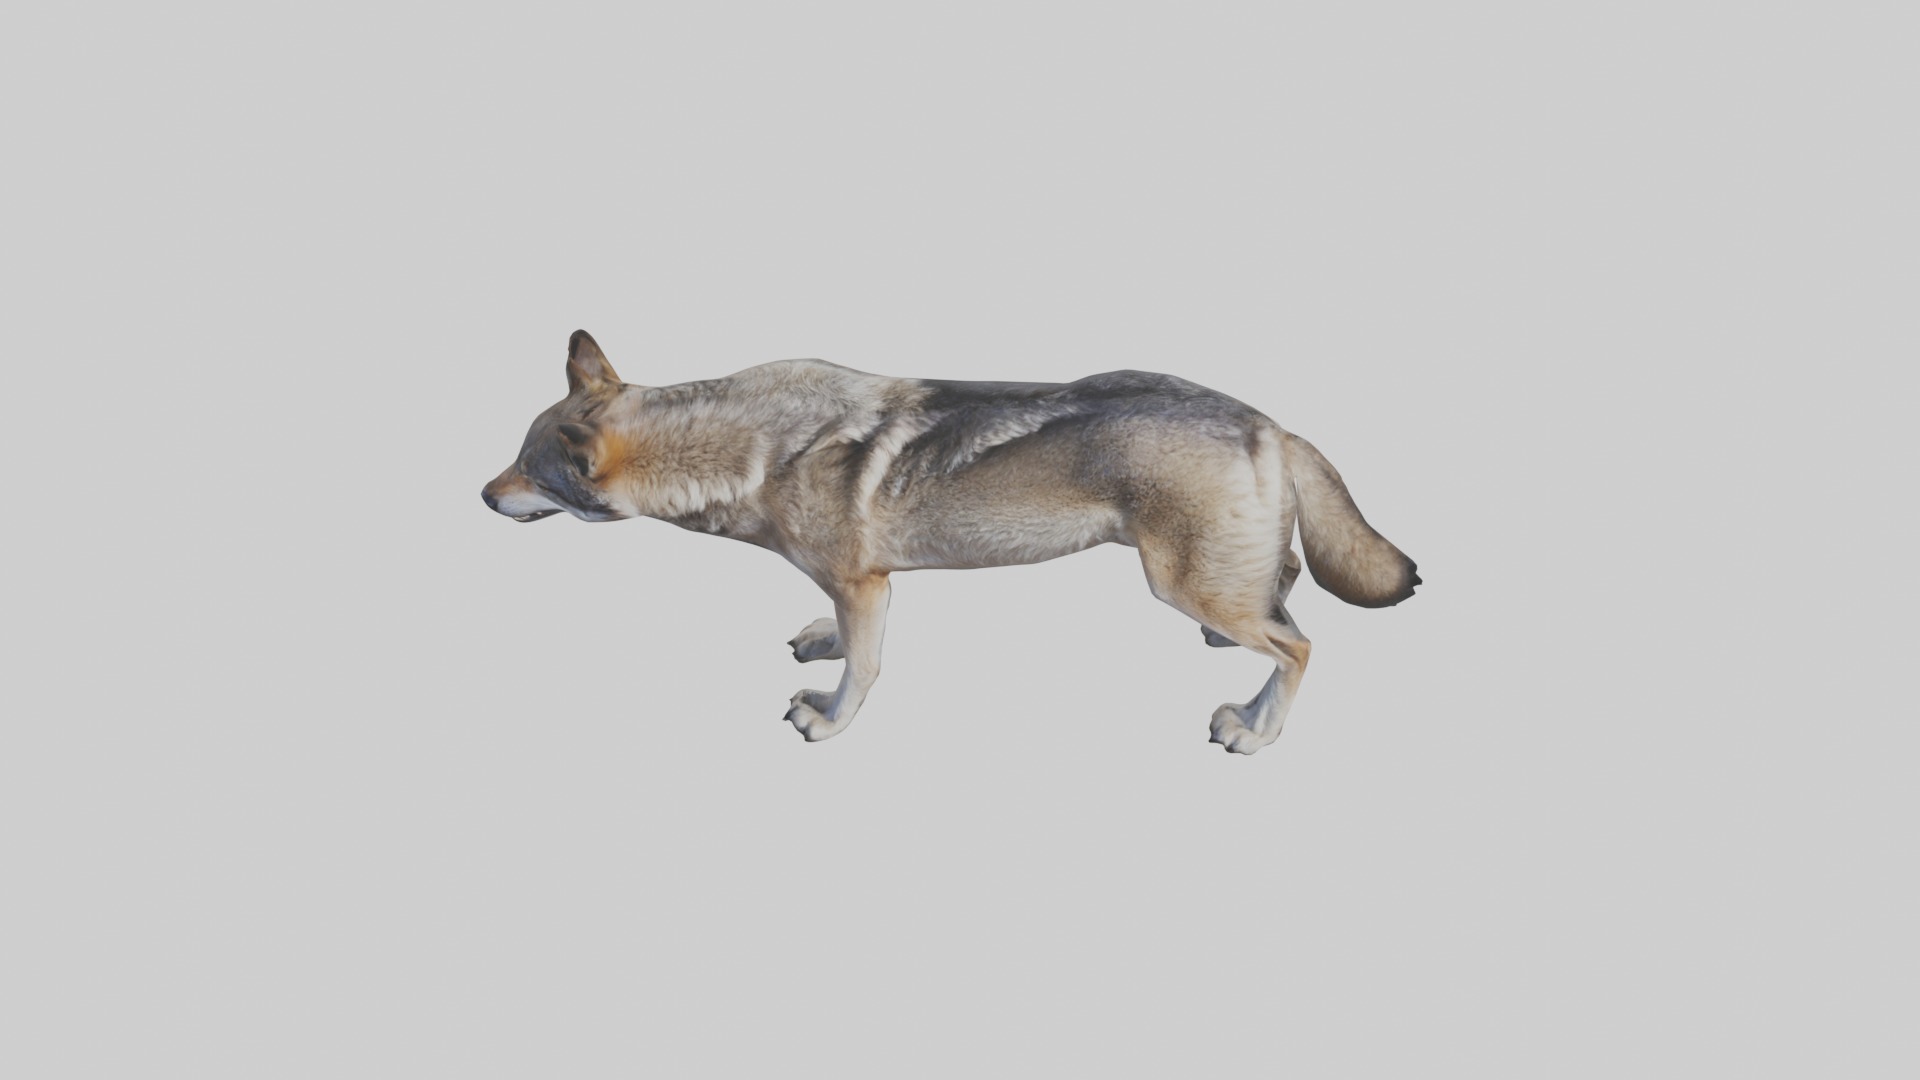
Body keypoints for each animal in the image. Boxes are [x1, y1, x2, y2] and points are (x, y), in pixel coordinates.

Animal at [482, 331, 1418, 755]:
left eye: (531, 473)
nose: (482, 495)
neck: (750, 449)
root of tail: (1271, 422)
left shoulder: (867, 587)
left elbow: (864, 671)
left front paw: (829, 723)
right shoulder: (862, 584)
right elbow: (841, 638)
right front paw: (819, 645)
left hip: (1174, 580)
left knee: (1301, 646)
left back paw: (1256, 730)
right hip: (1203, 575)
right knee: (1282, 585)